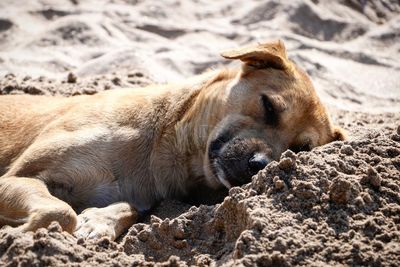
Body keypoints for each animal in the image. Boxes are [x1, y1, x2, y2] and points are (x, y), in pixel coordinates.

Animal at [0, 40, 344, 242]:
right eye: (269, 106)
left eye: (299, 150)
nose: (260, 166)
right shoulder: (16, 176)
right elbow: (60, 212)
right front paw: (16, 234)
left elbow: (121, 208)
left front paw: (98, 221)